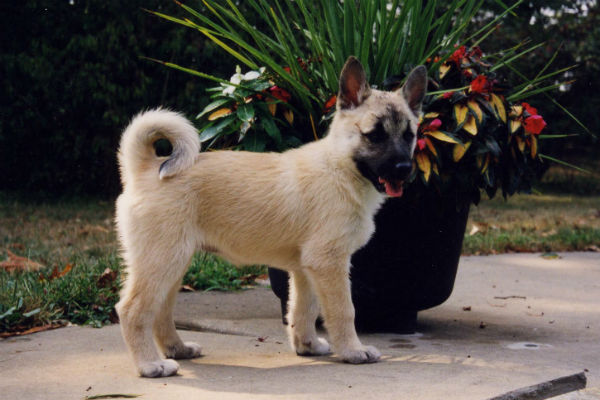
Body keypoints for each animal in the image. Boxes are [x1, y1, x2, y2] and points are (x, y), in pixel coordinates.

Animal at [116, 57, 426, 378]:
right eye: (374, 134)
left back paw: (178, 349)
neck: (339, 168)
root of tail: (146, 168)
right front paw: (353, 350)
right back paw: (150, 364)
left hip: (173, 265)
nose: (404, 168)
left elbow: (303, 308)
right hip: (162, 261)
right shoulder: (329, 263)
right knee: (133, 310)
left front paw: (307, 345)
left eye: (409, 135)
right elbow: (343, 310)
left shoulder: (306, 269)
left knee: (160, 312)